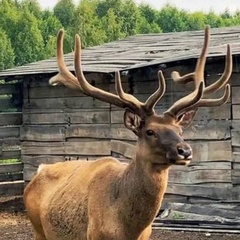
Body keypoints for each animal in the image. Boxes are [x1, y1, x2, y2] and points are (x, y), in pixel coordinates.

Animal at [23, 26, 232, 240]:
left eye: (180, 129)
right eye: (150, 131)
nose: (185, 151)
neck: (128, 228)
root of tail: (38, 172)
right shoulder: (94, 235)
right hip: (38, 228)